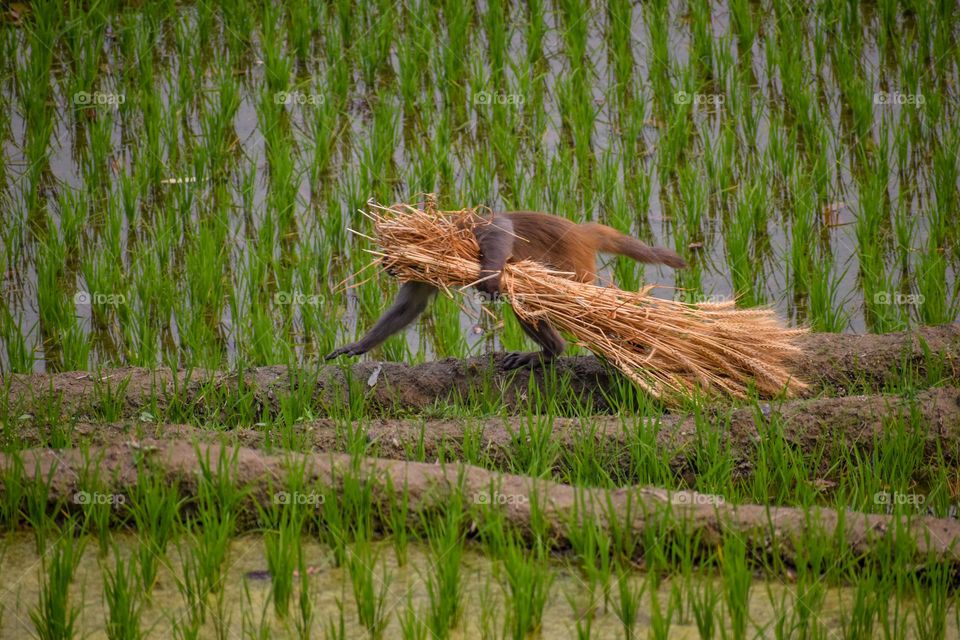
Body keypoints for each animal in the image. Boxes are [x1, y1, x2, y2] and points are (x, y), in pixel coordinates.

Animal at [326, 211, 687, 369]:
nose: (387, 265)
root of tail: (580, 232)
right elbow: (409, 307)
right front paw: (359, 345)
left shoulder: (463, 228)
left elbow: (499, 227)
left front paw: (488, 275)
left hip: (573, 265)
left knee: (553, 301)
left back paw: (554, 351)